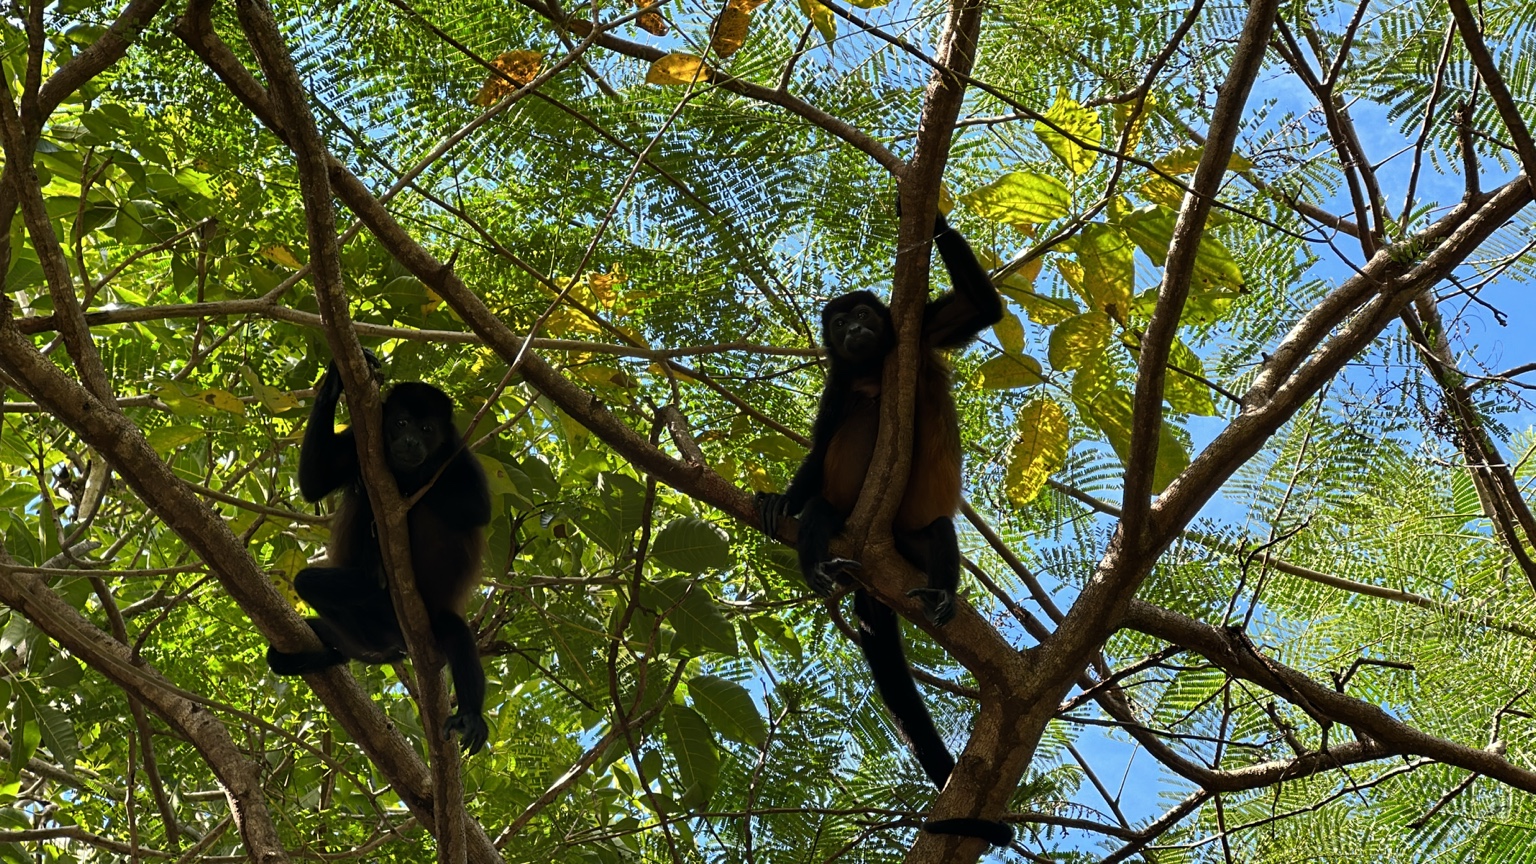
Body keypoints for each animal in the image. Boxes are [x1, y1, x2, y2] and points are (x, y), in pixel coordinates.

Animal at [267, 356, 493, 755]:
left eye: (426, 428)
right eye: (400, 423)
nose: (410, 441)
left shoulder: (459, 454)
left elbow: (478, 508)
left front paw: (414, 476)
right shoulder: (358, 440)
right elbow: (314, 483)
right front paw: (335, 381)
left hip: (433, 620)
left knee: (457, 634)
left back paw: (469, 714)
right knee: (315, 578)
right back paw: (374, 590)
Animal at [757, 210, 1012, 847]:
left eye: (864, 315)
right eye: (839, 321)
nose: (853, 327)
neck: (873, 367)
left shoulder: (916, 334)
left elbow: (981, 306)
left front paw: (925, 209)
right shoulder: (837, 385)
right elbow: (822, 445)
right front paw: (782, 500)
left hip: (910, 544)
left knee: (940, 531)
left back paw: (942, 591)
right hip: (844, 523)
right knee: (822, 511)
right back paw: (818, 558)